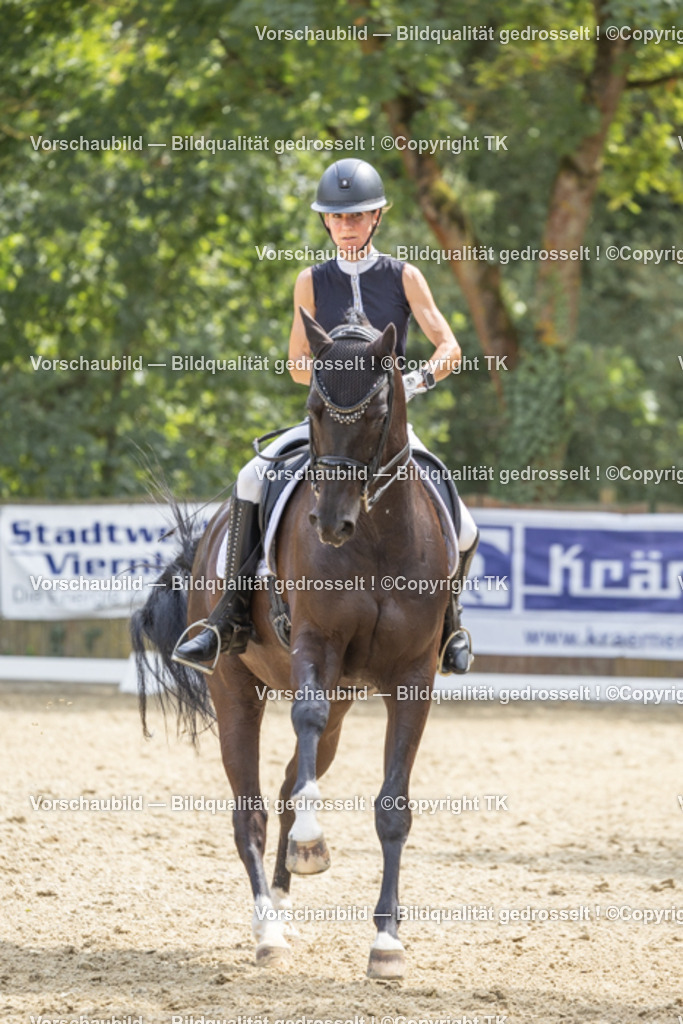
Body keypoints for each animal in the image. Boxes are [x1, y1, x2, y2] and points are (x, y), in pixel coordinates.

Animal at [131, 308, 454, 978]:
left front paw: (387, 940)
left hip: (346, 701)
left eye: (379, 410)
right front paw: (311, 844)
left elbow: (393, 809)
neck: (375, 537)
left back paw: (282, 901)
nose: (330, 524)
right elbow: (303, 718)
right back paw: (268, 929)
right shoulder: (316, 645)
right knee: (249, 809)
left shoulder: (413, 677)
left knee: (285, 787)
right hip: (235, 689)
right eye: (314, 409)